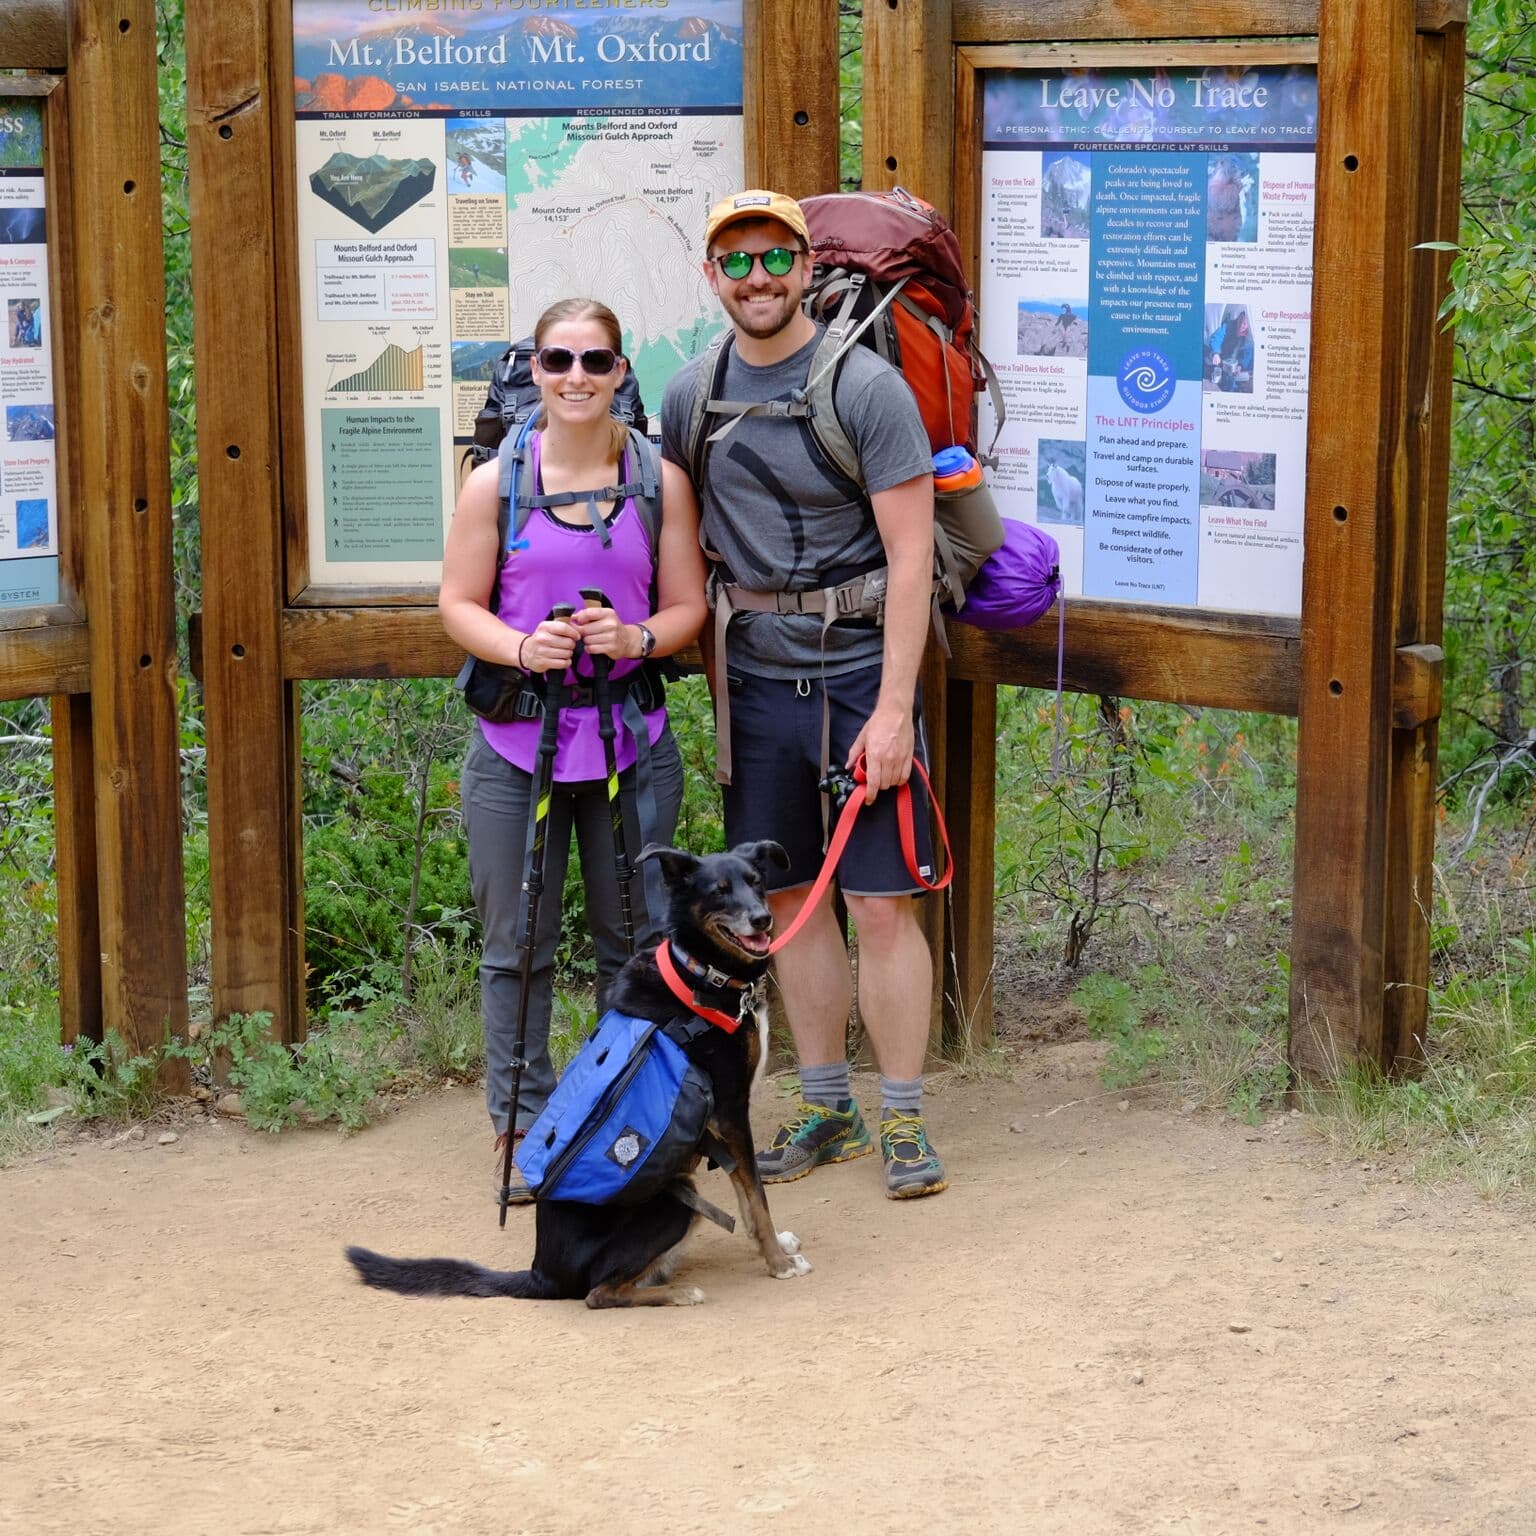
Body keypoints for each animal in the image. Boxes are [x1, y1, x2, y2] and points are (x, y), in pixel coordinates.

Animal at [342, 841, 811, 1308]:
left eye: (756, 882)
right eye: (719, 891)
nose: (763, 919)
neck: (700, 973)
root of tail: (542, 1274)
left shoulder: (727, 1123)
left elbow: (747, 1197)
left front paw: (774, 1246)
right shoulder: (730, 1110)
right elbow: (757, 1196)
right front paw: (777, 1262)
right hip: (677, 1202)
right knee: (599, 1294)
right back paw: (680, 1292)